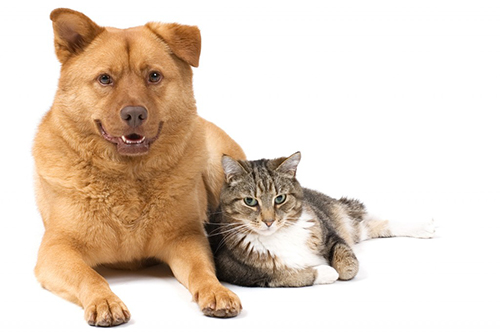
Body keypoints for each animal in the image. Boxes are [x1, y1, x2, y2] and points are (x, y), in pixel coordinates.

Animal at [32, 7, 246, 326]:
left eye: (154, 76)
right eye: (105, 79)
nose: (134, 114)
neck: (128, 176)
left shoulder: (186, 239)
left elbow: (201, 271)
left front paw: (216, 290)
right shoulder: (56, 249)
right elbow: (90, 276)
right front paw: (104, 300)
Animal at [206, 152, 434, 286]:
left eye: (280, 198)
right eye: (250, 201)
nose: (269, 221)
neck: (280, 234)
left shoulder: (328, 231)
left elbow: (346, 263)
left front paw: (340, 268)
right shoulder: (236, 269)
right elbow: (289, 276)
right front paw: (325, 272)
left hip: (342, 218)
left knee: (371, 222)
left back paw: (424, 228)